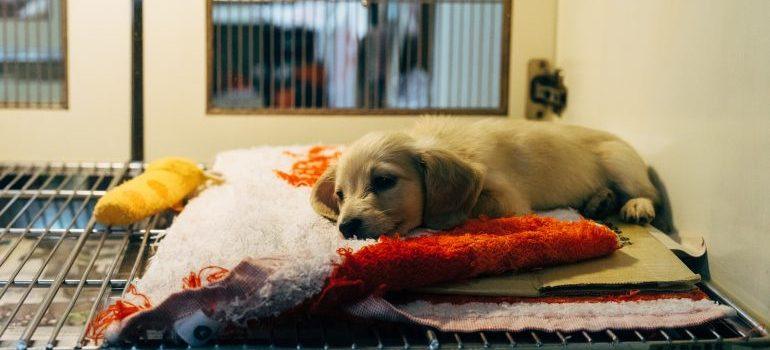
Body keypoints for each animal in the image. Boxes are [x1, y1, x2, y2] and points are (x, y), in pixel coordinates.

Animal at [308, 119, 656, 239]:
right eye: (340, 195)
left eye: (383, 181)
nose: (346, 228)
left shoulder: (509, 199)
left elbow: (472, 206)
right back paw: (600, 200)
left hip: (620, 162)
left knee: (649, 193)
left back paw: (636, 206)